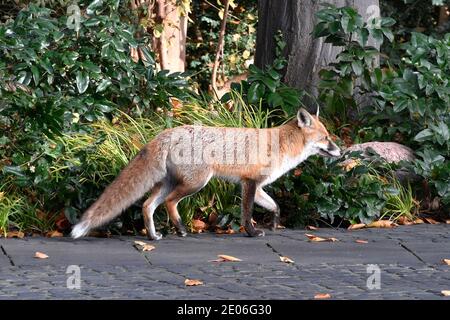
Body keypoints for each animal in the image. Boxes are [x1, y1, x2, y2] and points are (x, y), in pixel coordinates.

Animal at [72, 108, 342, 240]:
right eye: (326, 138)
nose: (340, 151)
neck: (281, 145)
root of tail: (166, 133)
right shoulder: (249, 182)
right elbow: (247, 214)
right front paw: (252, 233)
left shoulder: (256, 186)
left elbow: (275, 206)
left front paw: (275, 223)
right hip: (197, 183)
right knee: (169, 203)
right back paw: (180, 229)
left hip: (170, 183)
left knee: (148, 205)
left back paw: (154, 235)